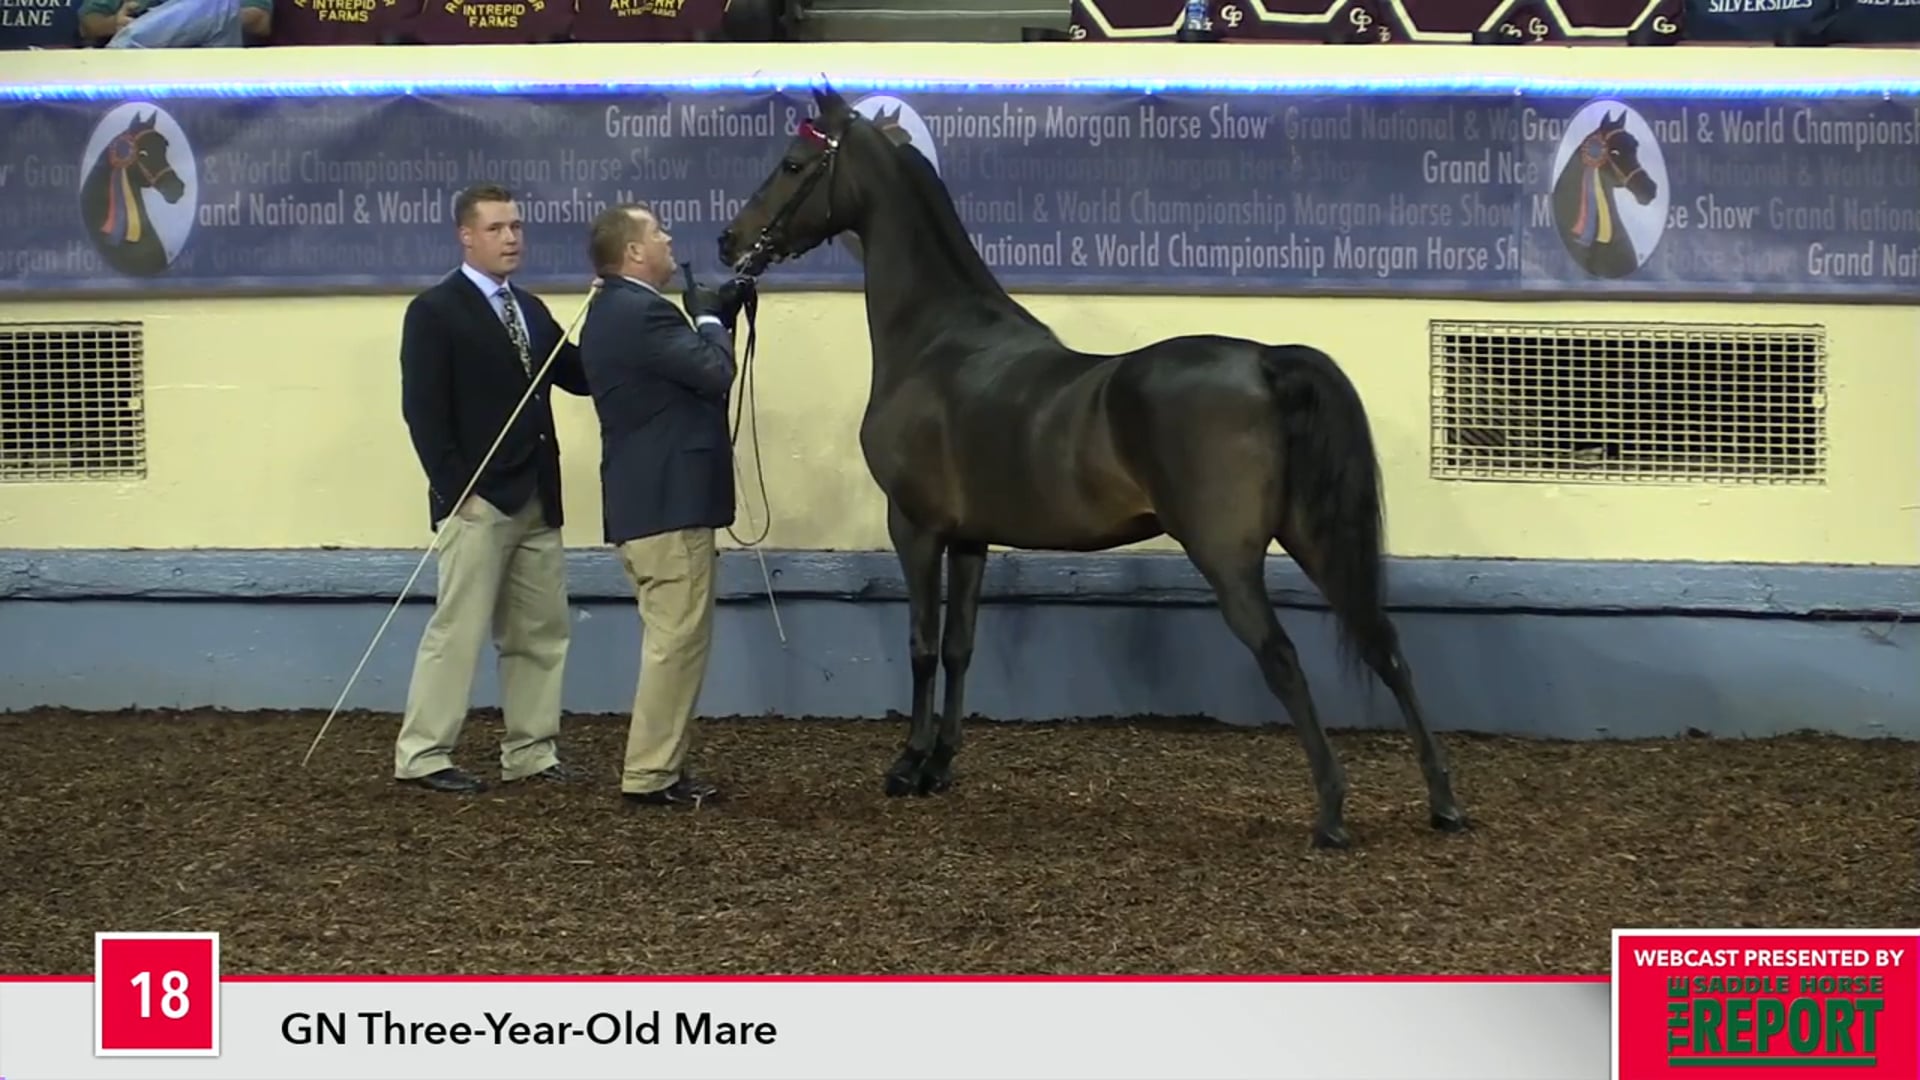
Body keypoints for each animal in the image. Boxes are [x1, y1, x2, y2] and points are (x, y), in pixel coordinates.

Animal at [717, 86, 1468, 849]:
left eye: (793, 163)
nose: (729, 241)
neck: (937, 342)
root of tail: (1265, 360)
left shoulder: (915, 527)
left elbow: (922, 644)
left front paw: (906, 765)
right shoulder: (970, 538)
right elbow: (959, 646)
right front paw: (941, 764)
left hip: (1228, 559)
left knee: (1284, 659)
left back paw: (1332, 813)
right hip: (1315, 537)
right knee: (1384, 644)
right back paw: (1443, 803)